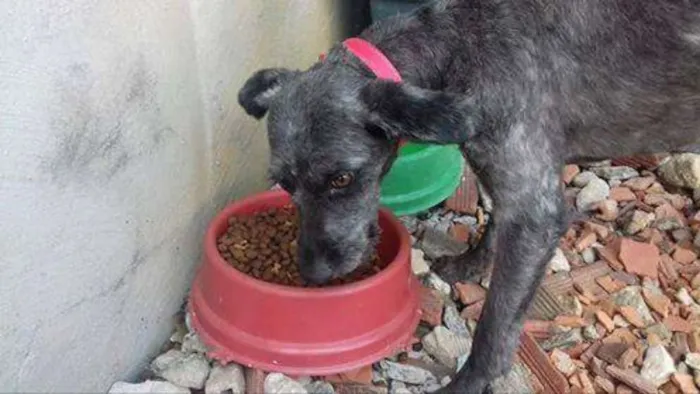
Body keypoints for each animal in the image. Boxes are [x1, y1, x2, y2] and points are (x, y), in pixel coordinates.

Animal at [237, 1, 700, 392]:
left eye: (342, 178)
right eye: (285, 183)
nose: (313, 274)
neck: (461, 43)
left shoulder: (535, 212)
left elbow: (496, 323)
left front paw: (470, 382)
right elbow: (493, 221)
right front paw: (471, 263)